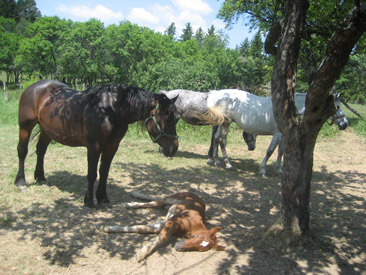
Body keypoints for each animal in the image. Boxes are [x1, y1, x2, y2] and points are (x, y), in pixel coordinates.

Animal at [14, 80, 179, 207]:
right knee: (22, 151)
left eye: (176, 119)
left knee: (41, 151)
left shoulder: (112, 147)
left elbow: (104, 172)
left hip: (47, 130)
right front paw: (88, 201)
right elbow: (92, 174)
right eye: (167, 119)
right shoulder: (94, 147)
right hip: (25, 126)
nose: (174, 148)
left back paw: (40, 177)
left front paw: (102, 197)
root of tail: (34, 87)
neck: (109, 110)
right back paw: (20, 181)